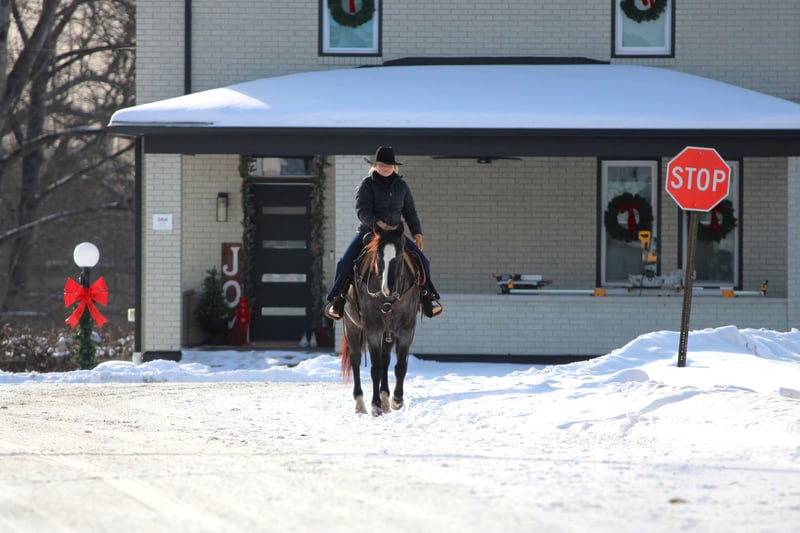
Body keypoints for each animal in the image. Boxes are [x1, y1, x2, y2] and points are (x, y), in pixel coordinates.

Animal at [340, 223, 421, 416]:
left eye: (399, 255)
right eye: (378, 255)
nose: (387, 287)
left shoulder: (406, 330)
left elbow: (400, 366)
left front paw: (396, 400)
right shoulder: (373, 330)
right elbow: (375, 368)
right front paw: (375, 404)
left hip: (387, 333)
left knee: (386, 360)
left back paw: (385, 399)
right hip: (351, 326)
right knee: (355, 360)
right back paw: (360, 403)